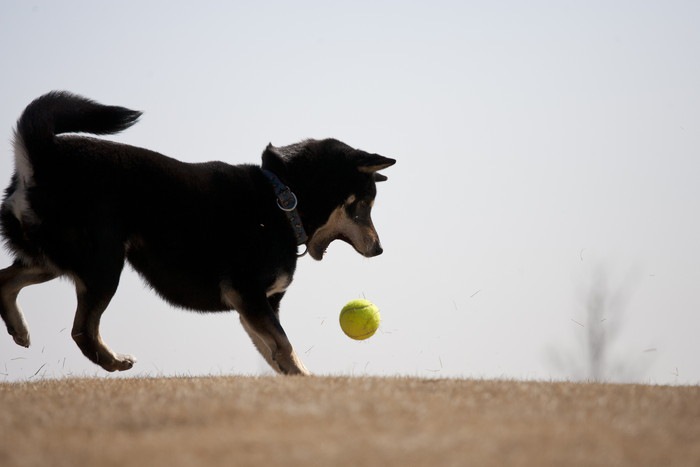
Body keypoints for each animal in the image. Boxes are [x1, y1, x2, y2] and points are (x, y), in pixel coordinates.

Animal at [0, 91, 394, 376]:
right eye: (364, 205)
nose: (379, 249)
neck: (284, 200)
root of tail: (42, 155)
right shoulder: (248, 294)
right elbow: (285, 346)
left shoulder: (256, 306)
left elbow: (275, 353)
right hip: (102, 263)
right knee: (82, 329)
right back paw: (114, 361)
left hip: (51, 258)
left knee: (5, 280)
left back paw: (19, 330)